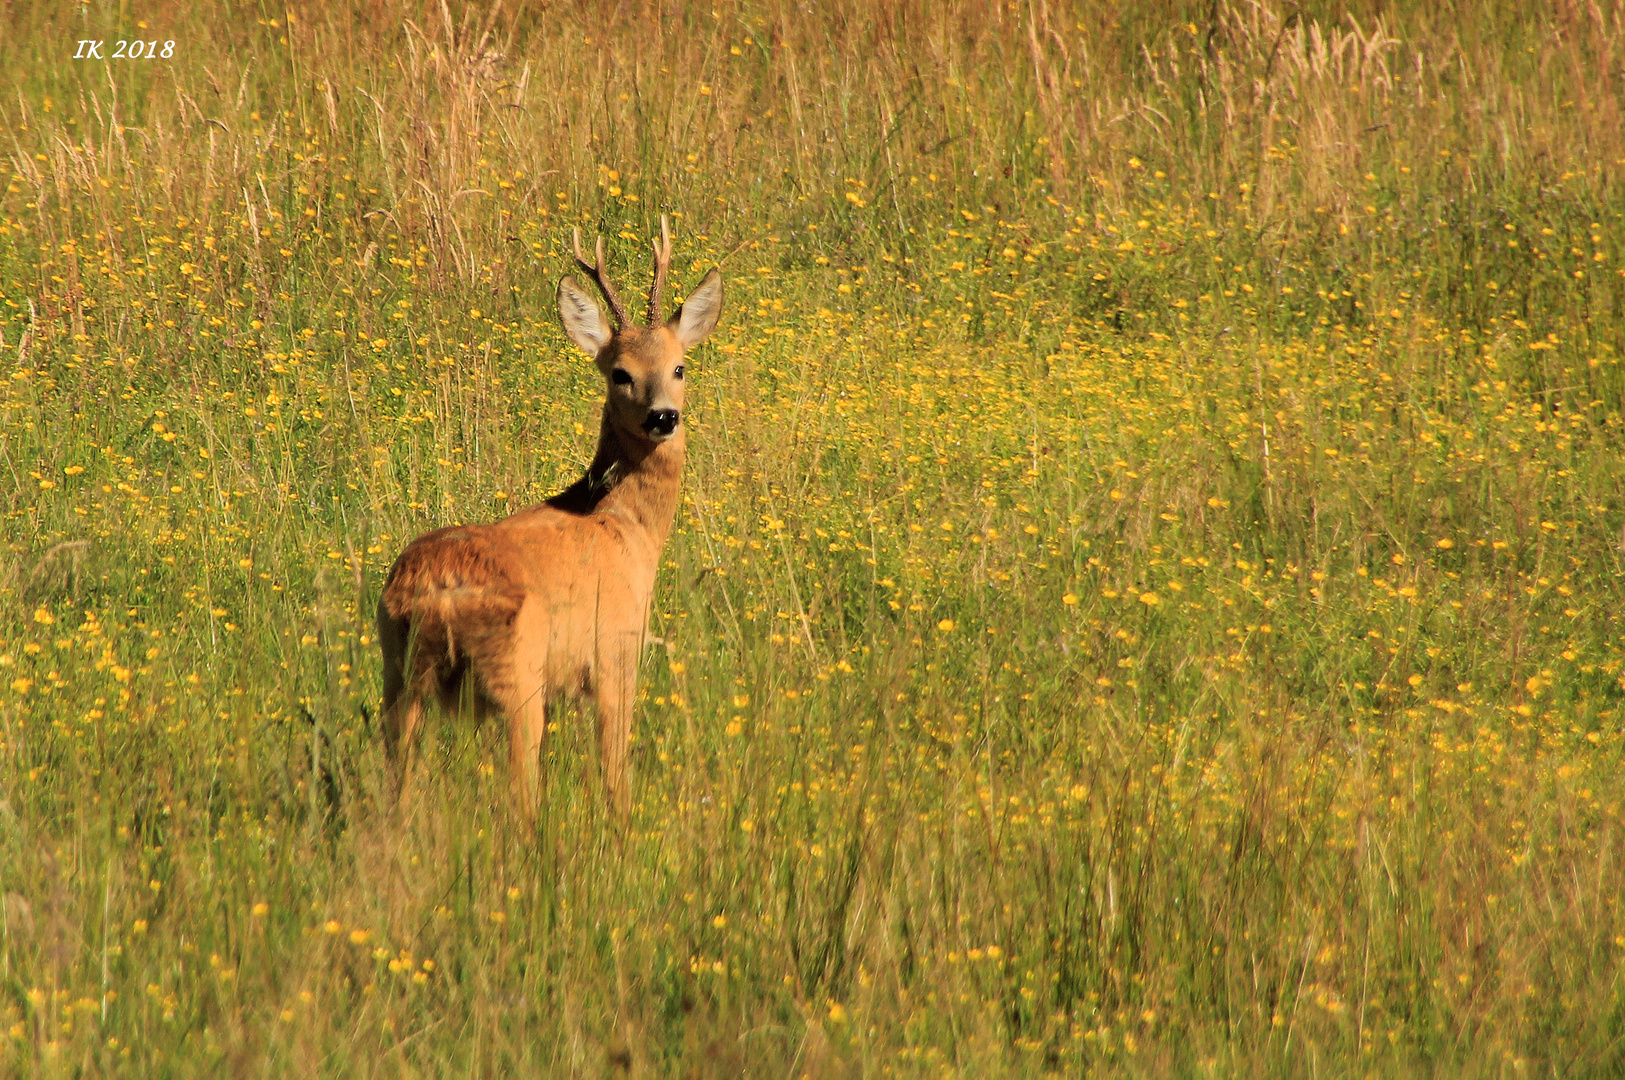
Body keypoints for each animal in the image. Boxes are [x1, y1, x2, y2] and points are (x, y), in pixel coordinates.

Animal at [377, 220, 721, 825]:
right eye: (620, 374)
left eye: (680, 366)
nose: (663, 416)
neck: (622, 524)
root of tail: (433, 590)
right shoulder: (615, 653)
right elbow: (613, 772)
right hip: (517, 673)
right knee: (521, 791)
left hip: (398, 672)